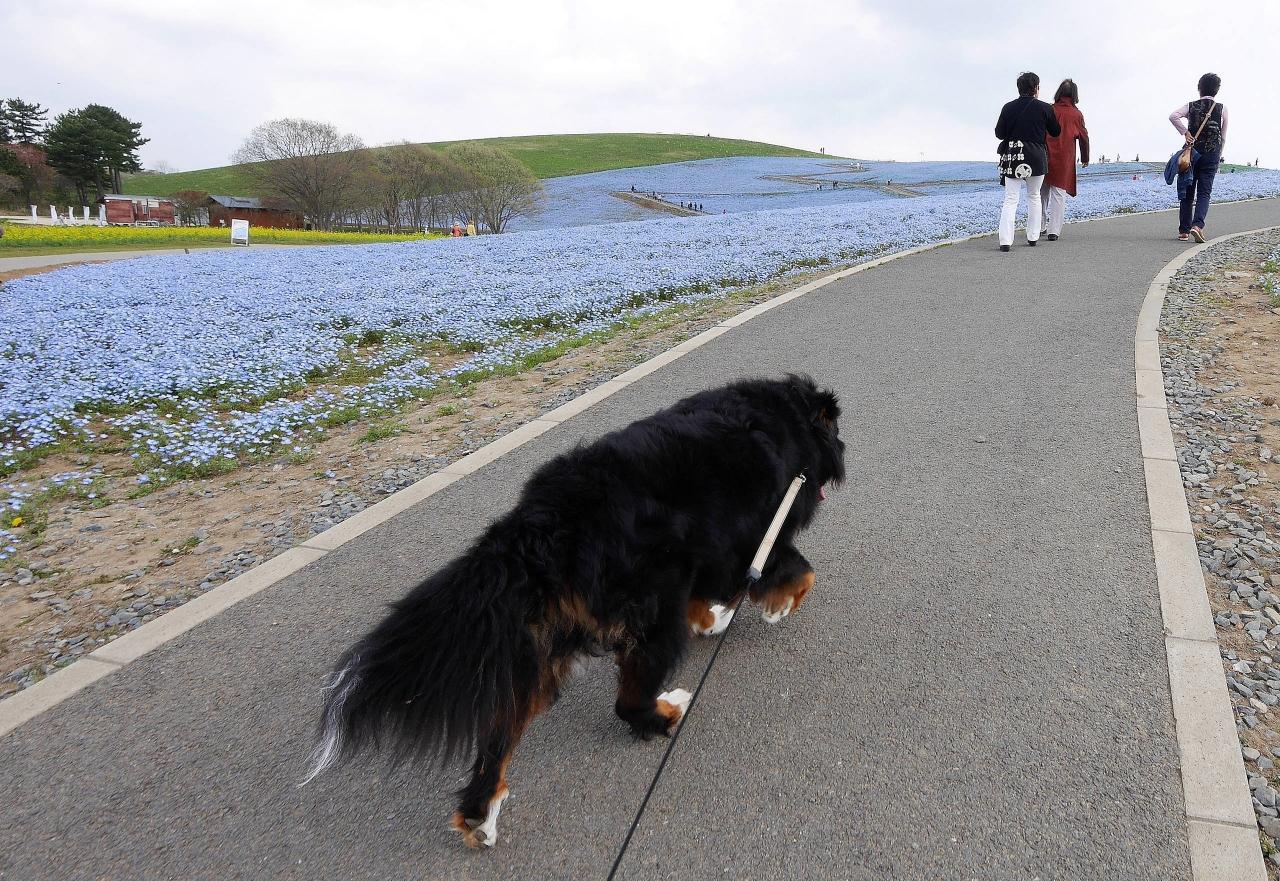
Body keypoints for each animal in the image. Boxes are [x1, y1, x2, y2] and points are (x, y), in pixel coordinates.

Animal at [303, 375, 845, 847]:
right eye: (836, 433)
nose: (845, 452)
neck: (783, 419)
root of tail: (542, 521)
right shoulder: (754, 536)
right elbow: (799, 574)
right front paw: (770, 609)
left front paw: (716, 618)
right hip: (652, 609)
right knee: (629, 701)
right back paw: (666, 712)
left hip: (543, 649)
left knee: (498, 737)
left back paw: (480, 815)